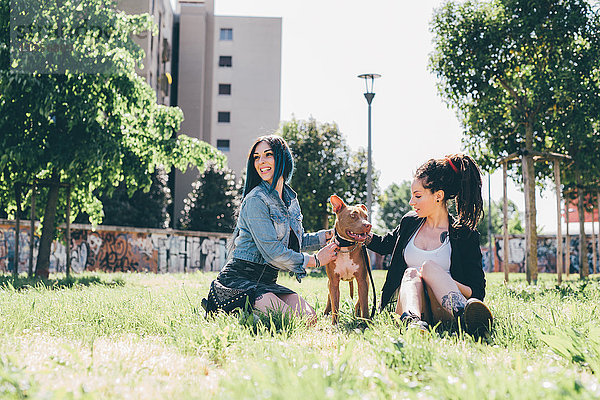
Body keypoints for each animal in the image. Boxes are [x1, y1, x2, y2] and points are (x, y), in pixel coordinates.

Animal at [324, 195, 370, 324]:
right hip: (330, 282)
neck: (346, 247)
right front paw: (335, 324)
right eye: (353, 216)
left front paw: (367, 323)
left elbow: (364, 303)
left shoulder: (362, 280)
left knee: (359, 301)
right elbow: (335, 304)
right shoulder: (334, 281)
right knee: (329, 297)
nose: (368, 225)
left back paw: (357, 315)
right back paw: (326, 313)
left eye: (366, 216)